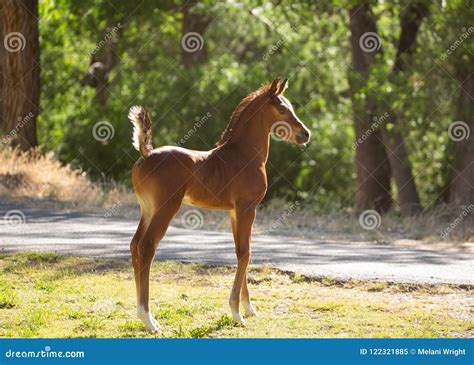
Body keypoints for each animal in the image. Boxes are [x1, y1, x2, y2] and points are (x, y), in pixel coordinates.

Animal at [129, 78, 312, 332]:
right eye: (283, 109)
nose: (305, 134)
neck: (244, 156)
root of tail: (145, 156)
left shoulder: (234, 212)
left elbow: (240, 252)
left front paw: (249, 308)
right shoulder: (247, 208)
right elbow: (246, 253)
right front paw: (237, 313)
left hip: (147, 209)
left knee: (134, 245)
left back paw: (145, 316)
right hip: (165, 208)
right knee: (146, 247)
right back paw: (148, 319)